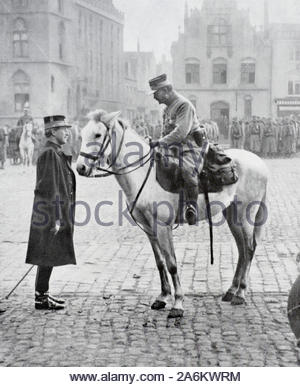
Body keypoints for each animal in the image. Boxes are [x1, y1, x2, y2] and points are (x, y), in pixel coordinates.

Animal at [76, 110, 268, 320]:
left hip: (245, 213)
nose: (80, 168)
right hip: (232, 214)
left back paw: (240, 293)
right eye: (82, 134)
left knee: (249, 248)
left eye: (98, 135)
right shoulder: (148, 228)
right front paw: (163, 297)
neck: (145, 175)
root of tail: (259, 162)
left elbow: (172, 263)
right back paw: (231, 290)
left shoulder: (162, 226)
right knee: (242, 249)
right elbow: (160, 262)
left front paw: (178, 304)